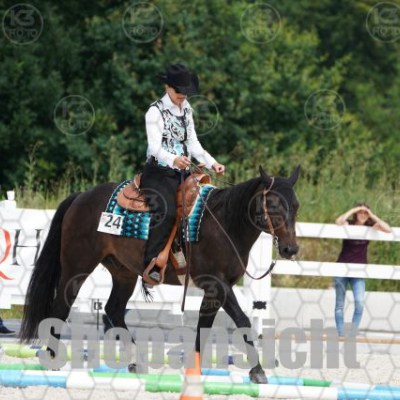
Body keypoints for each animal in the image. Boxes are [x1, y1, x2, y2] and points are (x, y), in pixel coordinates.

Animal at [20, 165, 300, 383]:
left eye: (296, 205)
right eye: (273, 203)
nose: (290, 248)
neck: (224, 223)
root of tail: (80, 197)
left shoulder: (215, 290)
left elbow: (205, 326)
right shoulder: (217, 283)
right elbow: (242, 320)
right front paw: (258, 371)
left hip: (123, 273)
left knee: (113, 310)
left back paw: (137, 362)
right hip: (76, 268)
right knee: (61, 306)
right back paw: (53, 359)